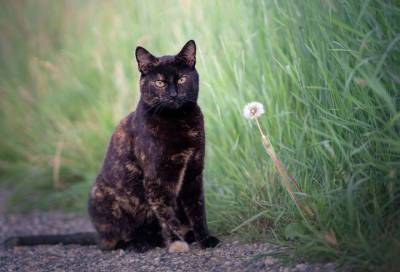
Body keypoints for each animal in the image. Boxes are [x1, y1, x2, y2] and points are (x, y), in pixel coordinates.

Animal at [3, 39, 219, 253]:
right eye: (160, 82)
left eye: (182, 79)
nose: (173, 95)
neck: (179, 121)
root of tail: (99, 235)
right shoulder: (155, 178)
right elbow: (166, 214)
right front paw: (175, 243)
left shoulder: (193, 172)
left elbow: (197, 210)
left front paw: (204, 239)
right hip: (100, 195)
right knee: (113, 241)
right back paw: (139, 243)